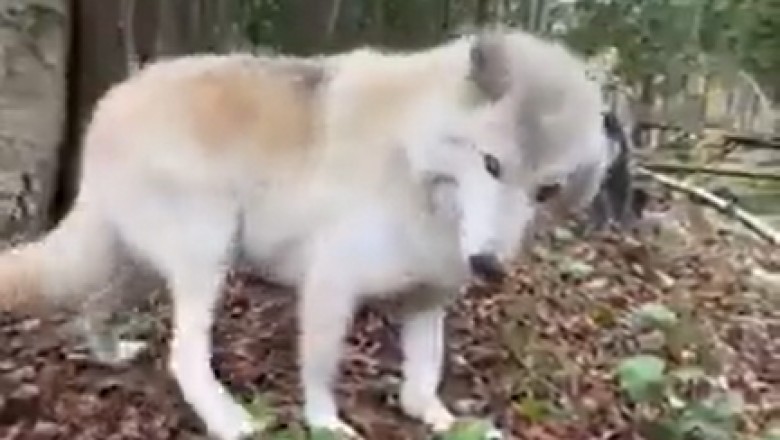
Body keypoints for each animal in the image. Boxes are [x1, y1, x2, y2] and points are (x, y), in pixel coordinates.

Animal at [0, 28, 610, 439]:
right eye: (492, 164)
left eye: (547, 190)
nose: (488, 266)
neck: (412, 162)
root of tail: (110, 103)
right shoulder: (330, 286)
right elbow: (320, 372)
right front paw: (325, 423)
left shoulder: (427, 301)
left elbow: (424, 381)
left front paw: (444, 419)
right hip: (206, 260)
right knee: (184, 357)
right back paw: (230, 420)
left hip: (143, 269)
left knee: (93, 308)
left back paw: (112, 355)